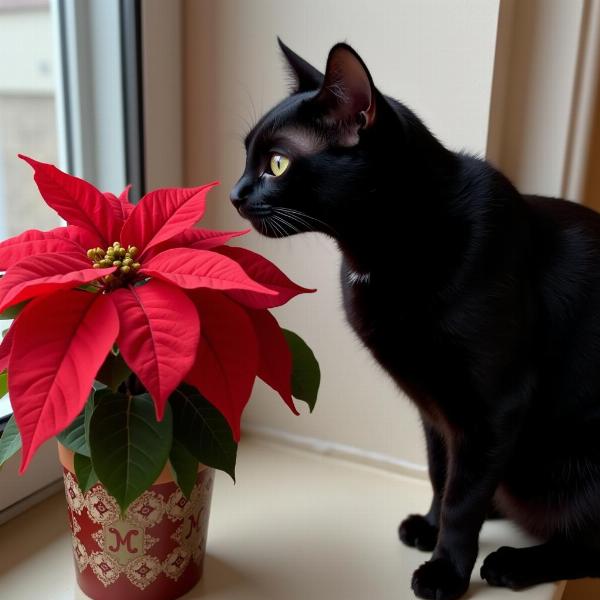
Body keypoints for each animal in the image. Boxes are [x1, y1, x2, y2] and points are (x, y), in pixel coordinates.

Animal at [229, 39, 600, 596]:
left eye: (276, 163)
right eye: (247, 156)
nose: (234, 193)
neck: (388, 252)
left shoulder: (493, 407)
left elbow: (461, 503)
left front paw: (446, 570)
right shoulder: (435, 410)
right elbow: (440, 476)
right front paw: (429, 528)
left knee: (590, 543)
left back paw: (516, 563)